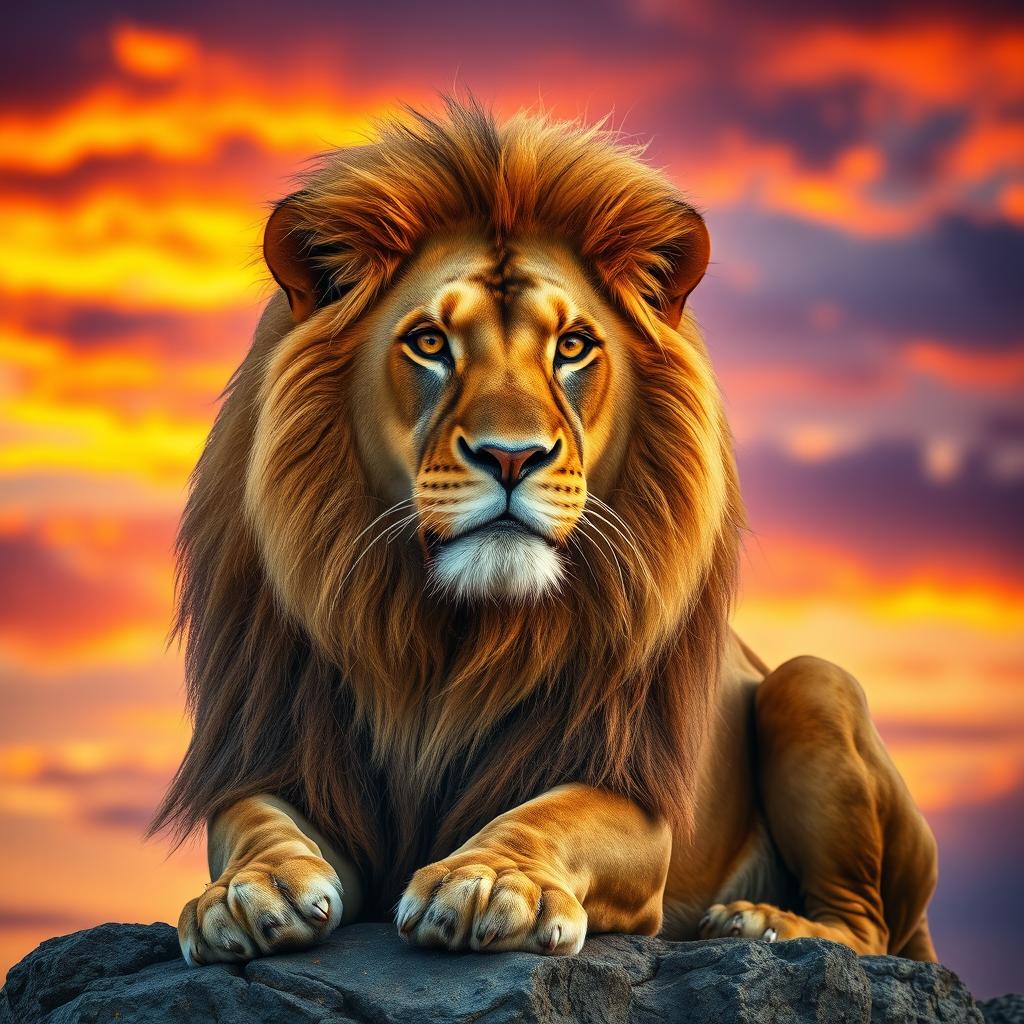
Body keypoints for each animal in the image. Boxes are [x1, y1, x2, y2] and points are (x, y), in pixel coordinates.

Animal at [152, 97, 938, 965]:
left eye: (572, 347)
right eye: (430, 343)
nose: (511, 455)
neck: (449, 635)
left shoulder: (631, 792)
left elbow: (549, 815)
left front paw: (491, 880)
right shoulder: (284, 751)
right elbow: (252, 820)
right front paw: (249, 890)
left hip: (811, 685)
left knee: (866, 925)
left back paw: (762, 923)